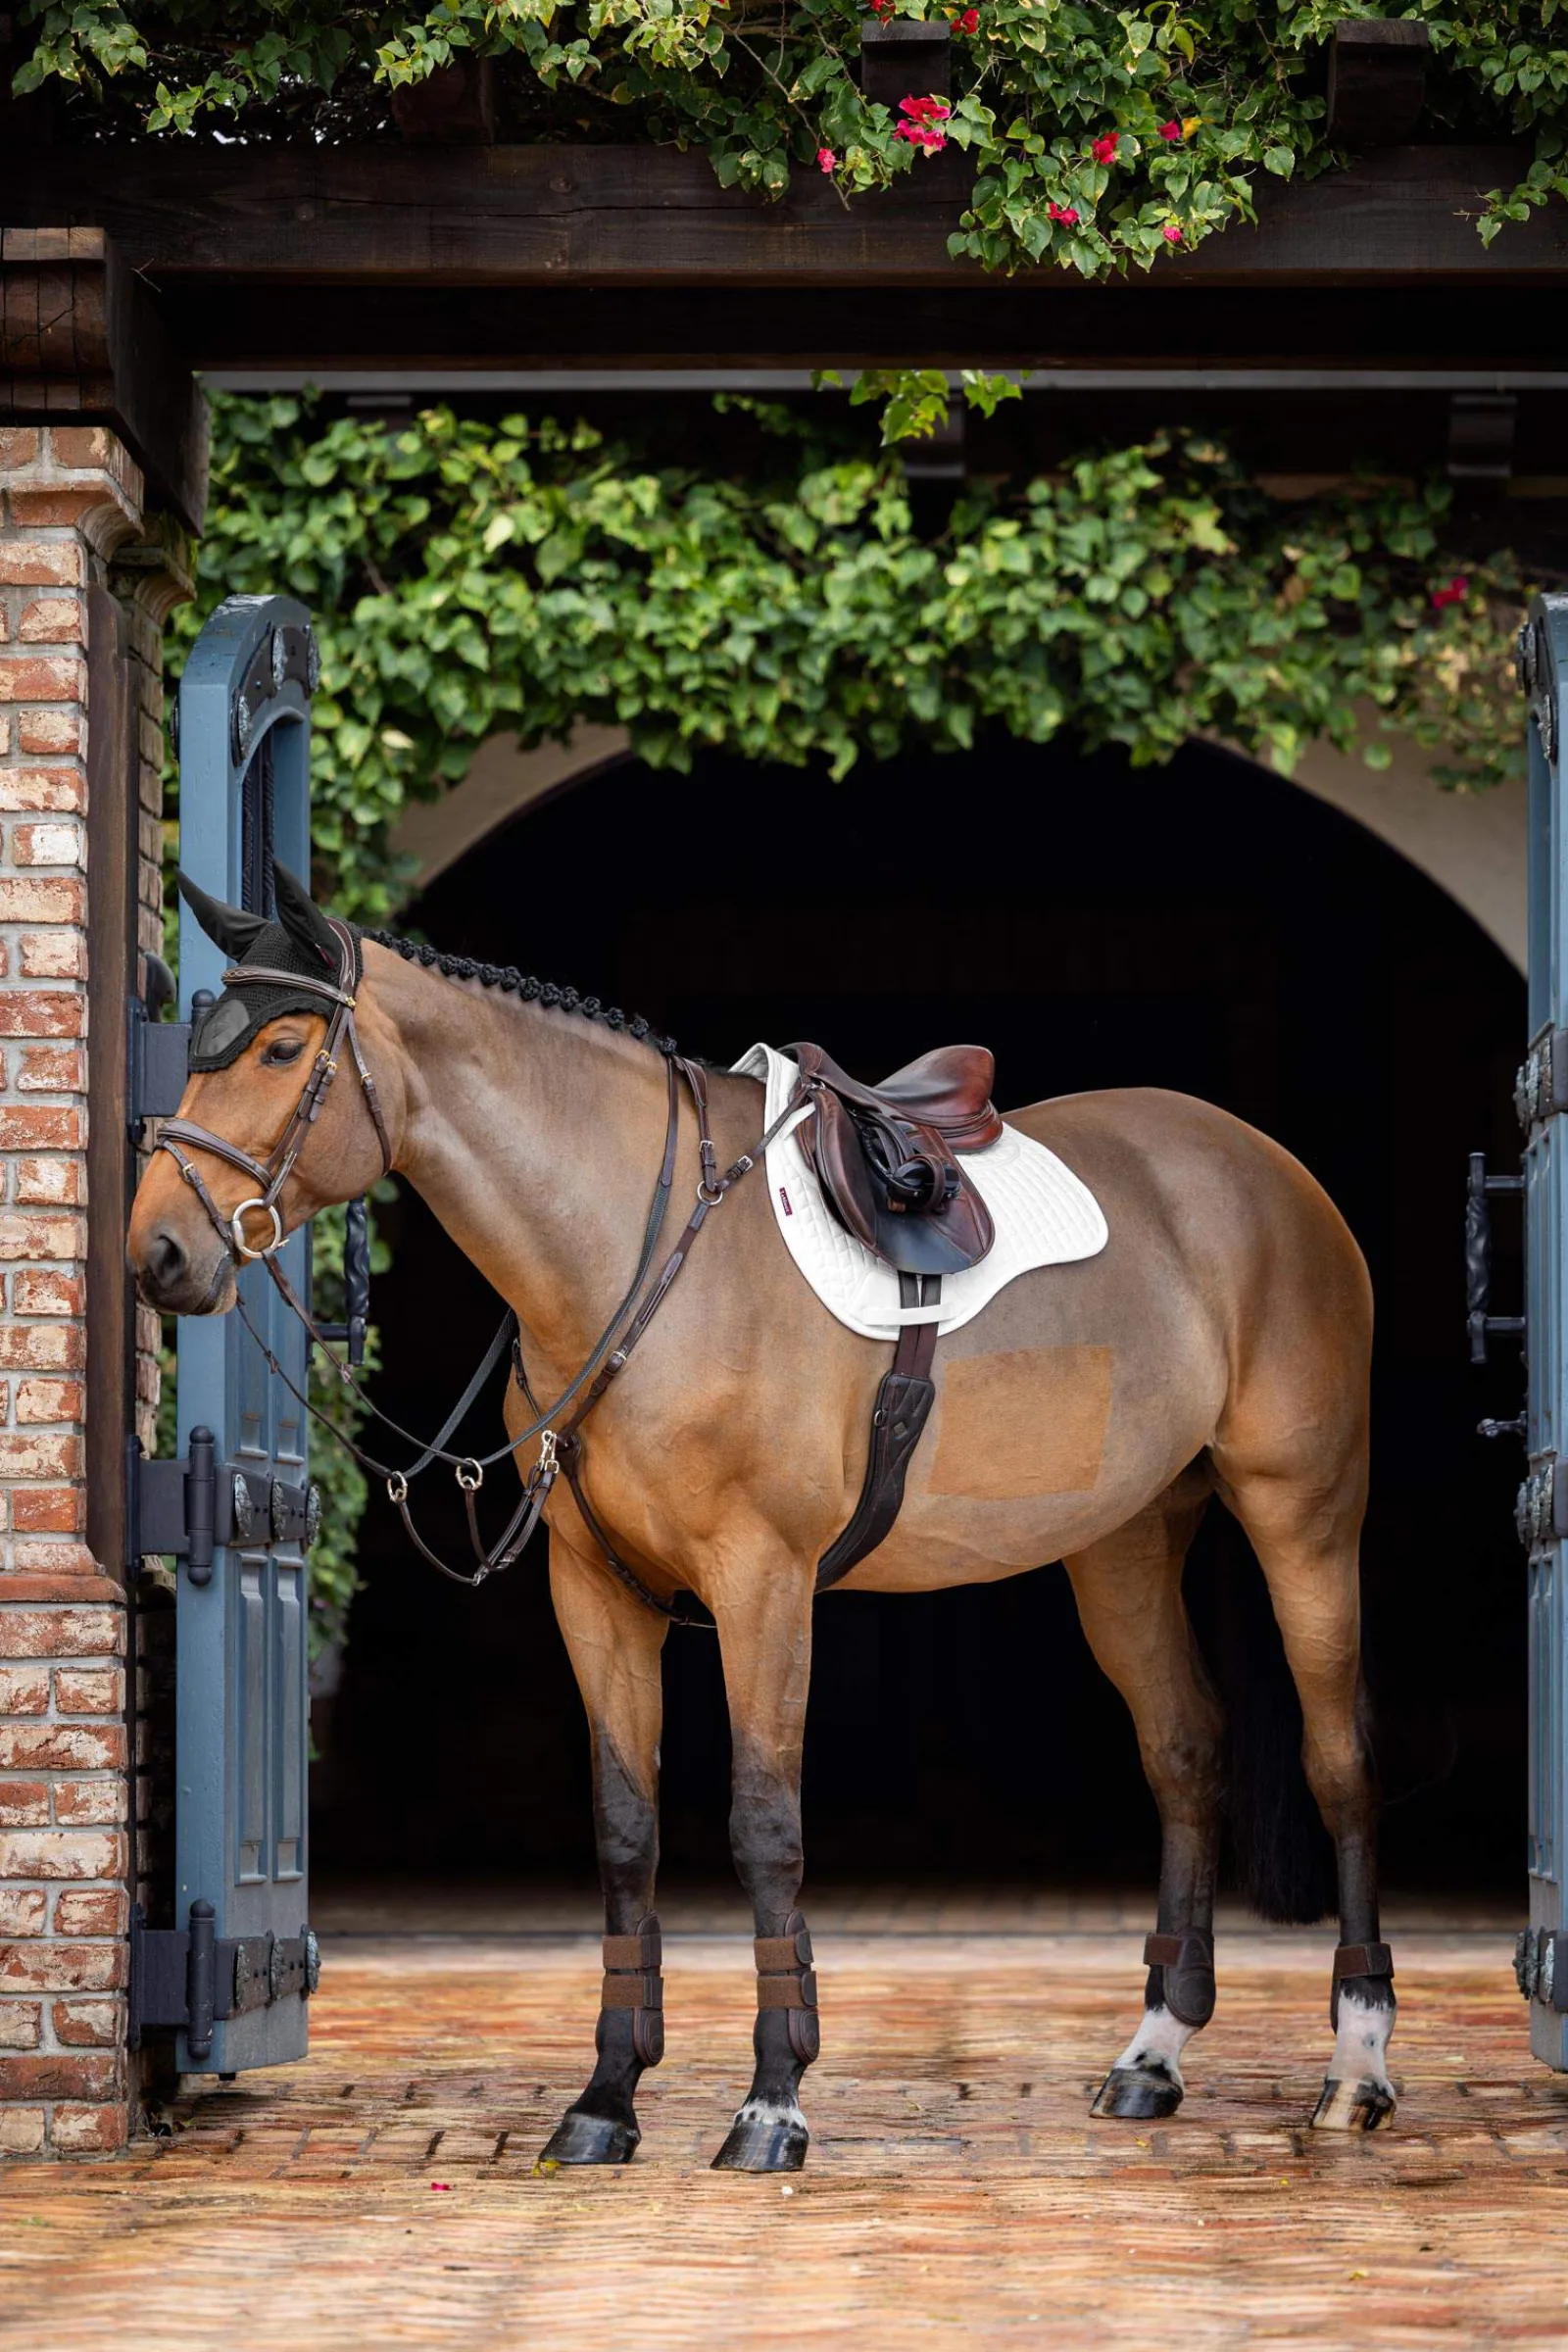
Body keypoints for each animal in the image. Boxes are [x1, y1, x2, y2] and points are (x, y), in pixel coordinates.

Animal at [127, 865, 1396, 2173]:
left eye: (282, 1047)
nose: (157, 1253)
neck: (632, 1254)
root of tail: (1267, 1171)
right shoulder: (593, 1589)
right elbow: (625, 1830)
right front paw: (605, 2100)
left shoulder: (763, 1582)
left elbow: (764, 1824)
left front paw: (772, 2101)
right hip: (1124, 1541)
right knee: (1184, 1752)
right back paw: (1152, 2054)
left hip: (1302, 1513)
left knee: (1339, 1759)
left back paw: (1355, 2068)